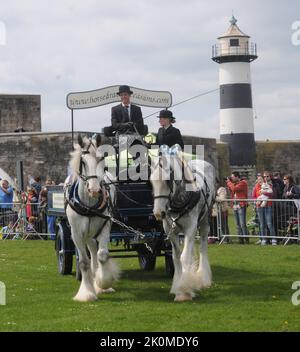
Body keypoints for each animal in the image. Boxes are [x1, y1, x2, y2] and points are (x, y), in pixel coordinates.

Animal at [66, 135, 119, 302]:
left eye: (101, 159)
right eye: (83, 161)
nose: (95, 190)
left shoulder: (105, 226)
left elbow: (102, 256)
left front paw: (103, 283)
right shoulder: (76, 234)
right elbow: (83, 262)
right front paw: (86, 292)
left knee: (95, 253)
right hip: (86, 233)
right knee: (91, 252)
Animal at [151, 153, 214, 302]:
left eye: (167, 180)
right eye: (151, 181)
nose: (158, 213)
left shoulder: (190, 229)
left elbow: (184, 257)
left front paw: (184, 291)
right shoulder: (171, 231)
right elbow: (176, 258)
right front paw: (178, 286)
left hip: (204, 222)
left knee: (203, 247)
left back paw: (204, 278)